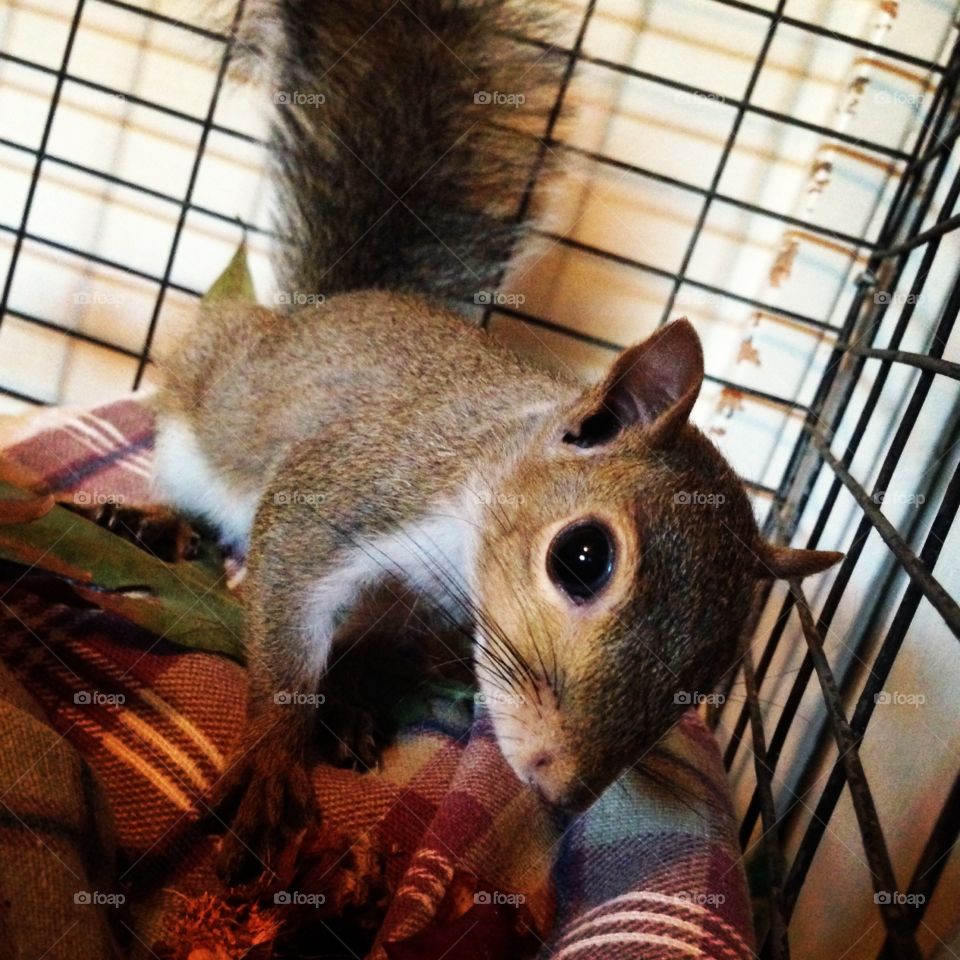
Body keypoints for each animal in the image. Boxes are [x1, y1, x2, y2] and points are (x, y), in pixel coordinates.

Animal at [153, 0, 842, 882]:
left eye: (711, 675)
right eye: (581, 558)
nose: (561, 791)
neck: (467, 525)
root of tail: (325, 306)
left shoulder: (420, 614)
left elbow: (368, 653)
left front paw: (348, 702)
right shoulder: (349, 492)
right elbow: (286, 632)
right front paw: (275, 755)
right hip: (196, 418)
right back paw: (169, 528)